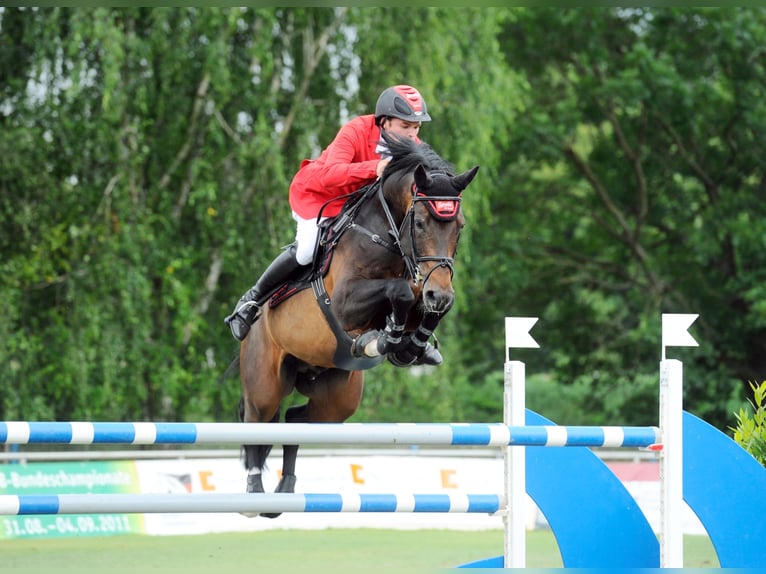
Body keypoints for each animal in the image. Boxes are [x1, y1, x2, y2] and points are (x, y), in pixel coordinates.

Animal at [240, 133, 480, 520]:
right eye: (420, 224)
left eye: (460, 227)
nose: (439, 294)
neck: (388, 237)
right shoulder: (344, 304)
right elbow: (399, 291)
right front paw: (384, 339)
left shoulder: (422, 284)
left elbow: (416, 301)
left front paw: (411, 345)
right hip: (265, 382)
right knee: (256, 423)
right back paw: (253, 495)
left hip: (338, 397)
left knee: (296, 419)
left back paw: (285, 491)